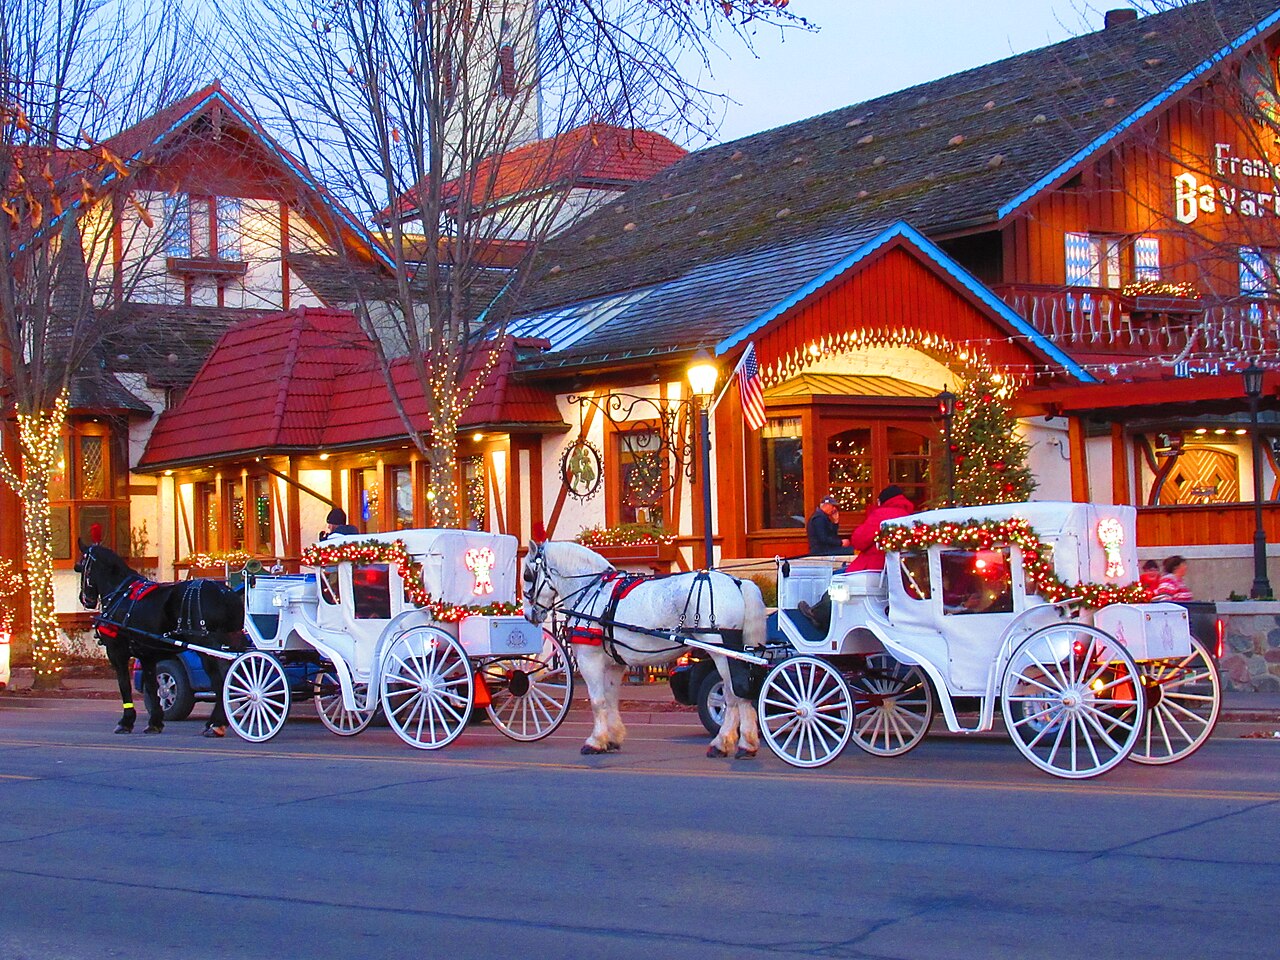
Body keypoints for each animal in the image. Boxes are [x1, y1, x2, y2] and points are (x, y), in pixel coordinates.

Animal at [74, 542, 247, 737]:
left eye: (80, 566)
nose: (85, 599)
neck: (120, 595)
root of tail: (225, 594)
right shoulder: (146, 655)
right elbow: (152, 686)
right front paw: (155, 722)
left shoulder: (117, 652)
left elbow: (124, 685)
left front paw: (126, 721)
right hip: (230, 641)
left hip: (208, 647)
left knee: (223, 680)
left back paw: (216, 723)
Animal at [522, 542, 762, 757]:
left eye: (527, 575)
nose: (528, 615)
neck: (593, 592)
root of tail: (737, 582)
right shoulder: (614, 664)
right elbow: (610, 699)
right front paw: (612, 738)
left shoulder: (589, 659)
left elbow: (598, 701)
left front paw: (595, 741)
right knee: (740, 692)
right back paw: (744, 743)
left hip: (722, 652)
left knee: (732, 694)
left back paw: (725, 743)